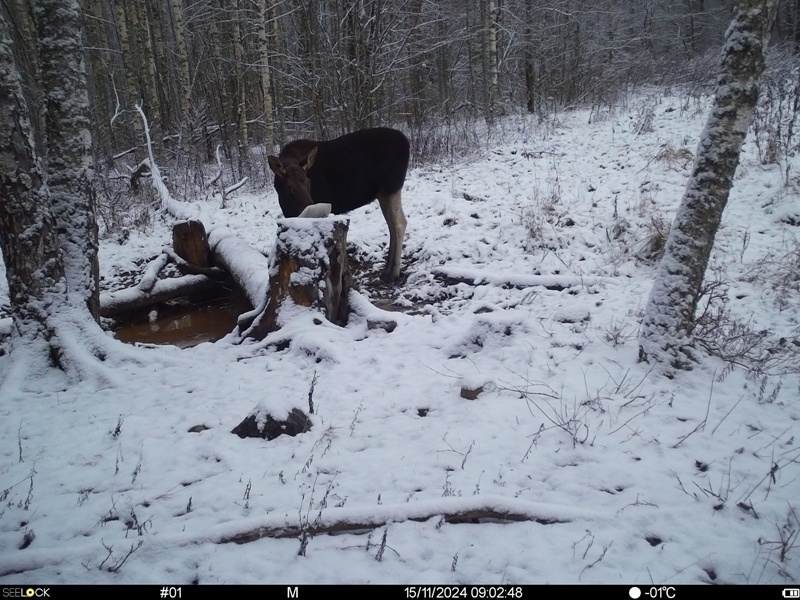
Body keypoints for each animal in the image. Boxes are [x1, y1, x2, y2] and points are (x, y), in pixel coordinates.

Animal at [267, 127, 410, 282]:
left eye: (309, 182)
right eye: (289, 187)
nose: (311, 207)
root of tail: (406, 143)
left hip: (390, 188)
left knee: (399, 223)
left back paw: (394, 272)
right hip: (383, 194)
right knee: (391, 224)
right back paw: (387, 269)